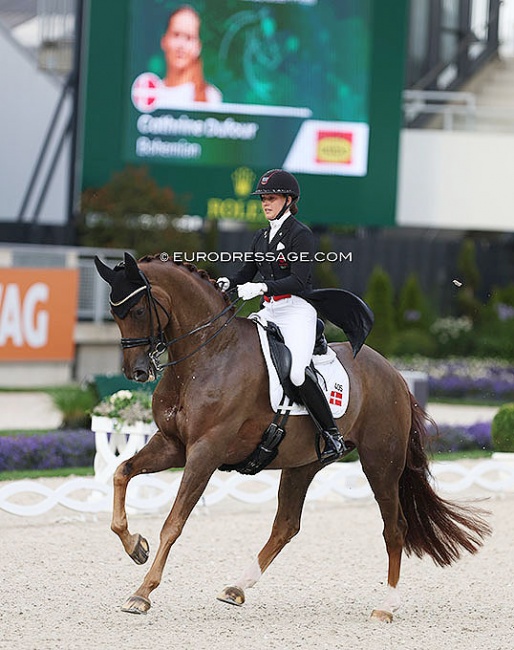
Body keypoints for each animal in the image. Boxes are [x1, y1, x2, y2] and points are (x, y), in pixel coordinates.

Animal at [94, 251, 490, 620]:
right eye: (115, 313)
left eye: (138, 310)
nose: (137, 372)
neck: (206, 356)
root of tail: (394, 374)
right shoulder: (172, 445)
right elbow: (121, 473)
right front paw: (135, 546)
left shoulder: (205, 453)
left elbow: (173, 524)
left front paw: (142, 593)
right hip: (304, 463)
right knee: (286, 525)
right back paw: (237, 588)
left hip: (381, 464)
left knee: (395, 528)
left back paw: (386, 606)